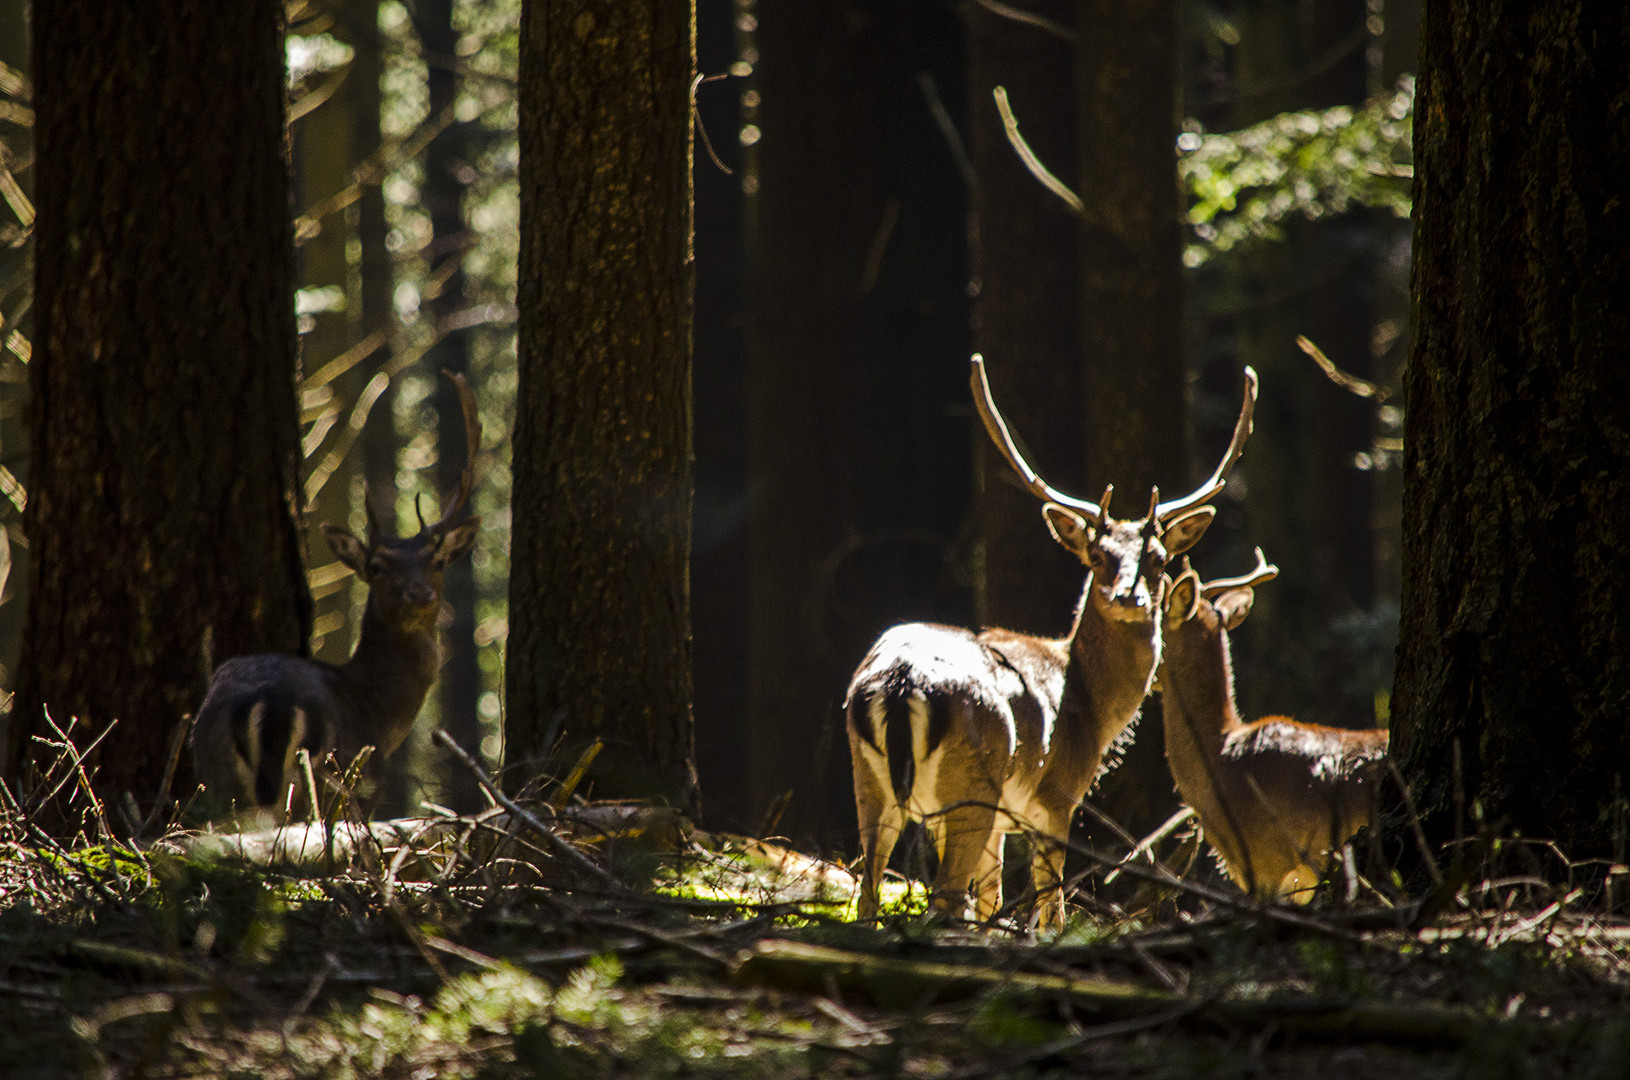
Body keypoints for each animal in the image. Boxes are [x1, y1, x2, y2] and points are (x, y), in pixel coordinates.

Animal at [190, 368, 479, 814]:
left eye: (437, 561)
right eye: (376, 567)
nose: (419, 595)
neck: (377, 711)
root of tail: (269, 703)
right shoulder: (366, 779)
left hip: (215, 775)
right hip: (318, 776)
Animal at [847, 355, 1251, 931]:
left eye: (1157, 559)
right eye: (1098, 556)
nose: (1129, 596)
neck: (1089, 702)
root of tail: (901, 684)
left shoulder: (1002, 823)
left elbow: (993, 898)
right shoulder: (1057, 797)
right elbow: (1051, 906)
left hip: (870, 784)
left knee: (868, 893)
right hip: (970, 790)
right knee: (943, 898)